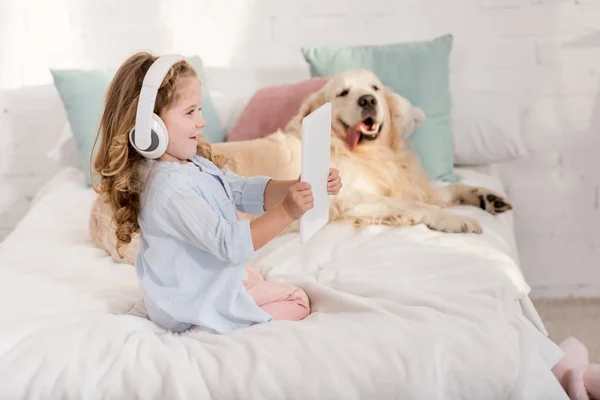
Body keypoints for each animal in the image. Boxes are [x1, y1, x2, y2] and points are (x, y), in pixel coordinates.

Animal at [88, 68, 510, 266]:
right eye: (343, 93)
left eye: (374, 87)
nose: (368, 100)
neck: (368, 155)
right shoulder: (357, 201)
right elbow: (416, 206)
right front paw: (457, 221)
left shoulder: (407, 182)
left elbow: (442, 191)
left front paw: (486, 198)